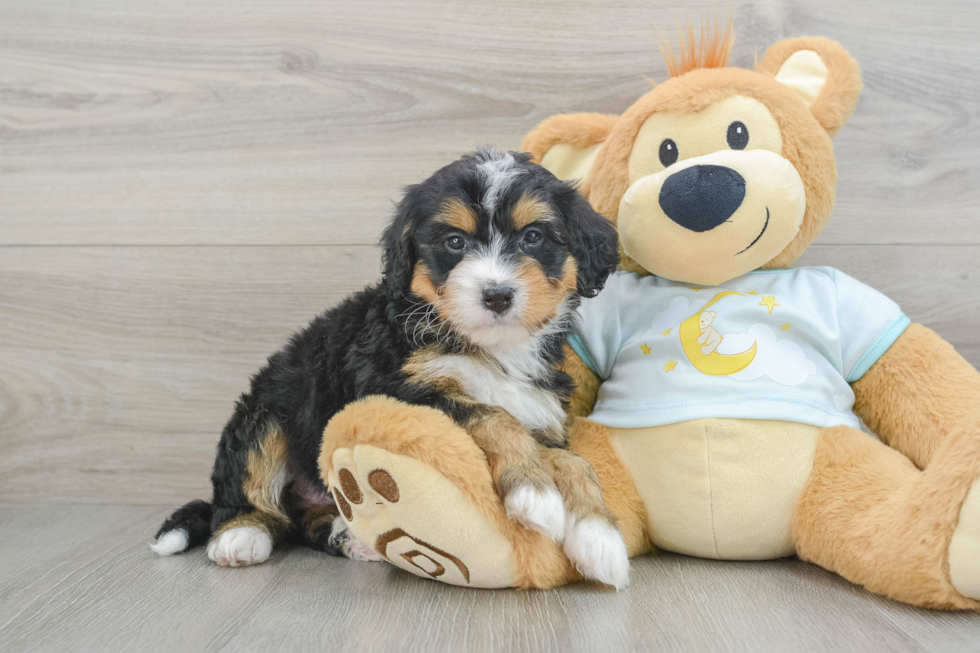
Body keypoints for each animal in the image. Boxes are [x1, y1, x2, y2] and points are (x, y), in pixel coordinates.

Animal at [152, 150, 628, 588]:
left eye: (533, 236)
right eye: (455, 242)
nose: (496, 295)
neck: (489, 347)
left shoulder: (540, 410)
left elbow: (575, 463)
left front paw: (599, 537)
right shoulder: (401, 388)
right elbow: (494, 416)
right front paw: (534, 492)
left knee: (304, 520)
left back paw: (348, 536)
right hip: (264, 416)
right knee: (249, 490)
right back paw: (241, 536)